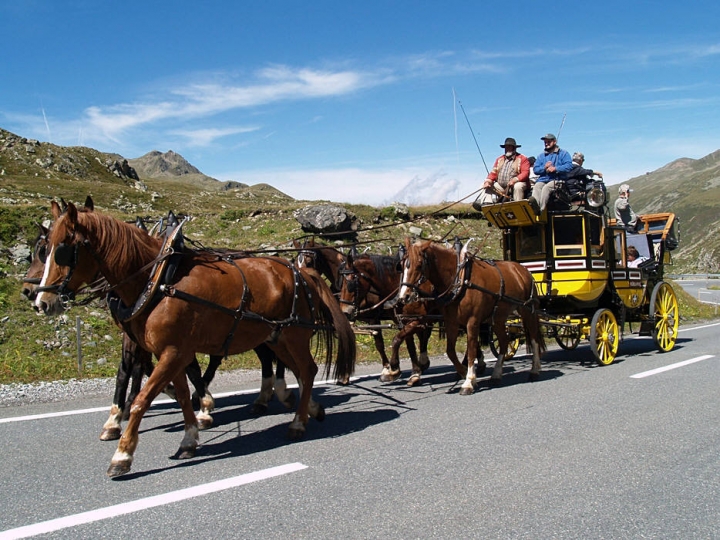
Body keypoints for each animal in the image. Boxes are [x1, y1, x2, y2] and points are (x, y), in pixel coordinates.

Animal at [33, 202, 354, 476]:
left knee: (307, 371)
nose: (41, 301)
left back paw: (298, 422)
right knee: (298, 371)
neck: (158, 279)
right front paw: (189, 437)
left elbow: (142, 398)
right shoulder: (170, 352)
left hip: (293, 336)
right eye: (43, 250)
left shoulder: (173, 352)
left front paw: (122, 455)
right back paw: (307, 407)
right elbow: (182, 394)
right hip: (275, 337)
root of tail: (301, 271)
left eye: (63, 250)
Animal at [396, 238, 544, 394]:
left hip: (527, 311)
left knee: (534, 338)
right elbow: (450, 351)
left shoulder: (472, 322)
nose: (404, 297)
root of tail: (522, 270)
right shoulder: (451, 322)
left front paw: (468, 381)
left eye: (419, 265)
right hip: (498, 318)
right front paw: (462, 371)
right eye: (401, 265)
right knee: (504, 342)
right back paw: (496, 374)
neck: (460, 280)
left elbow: (472, 350)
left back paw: (535, 370)